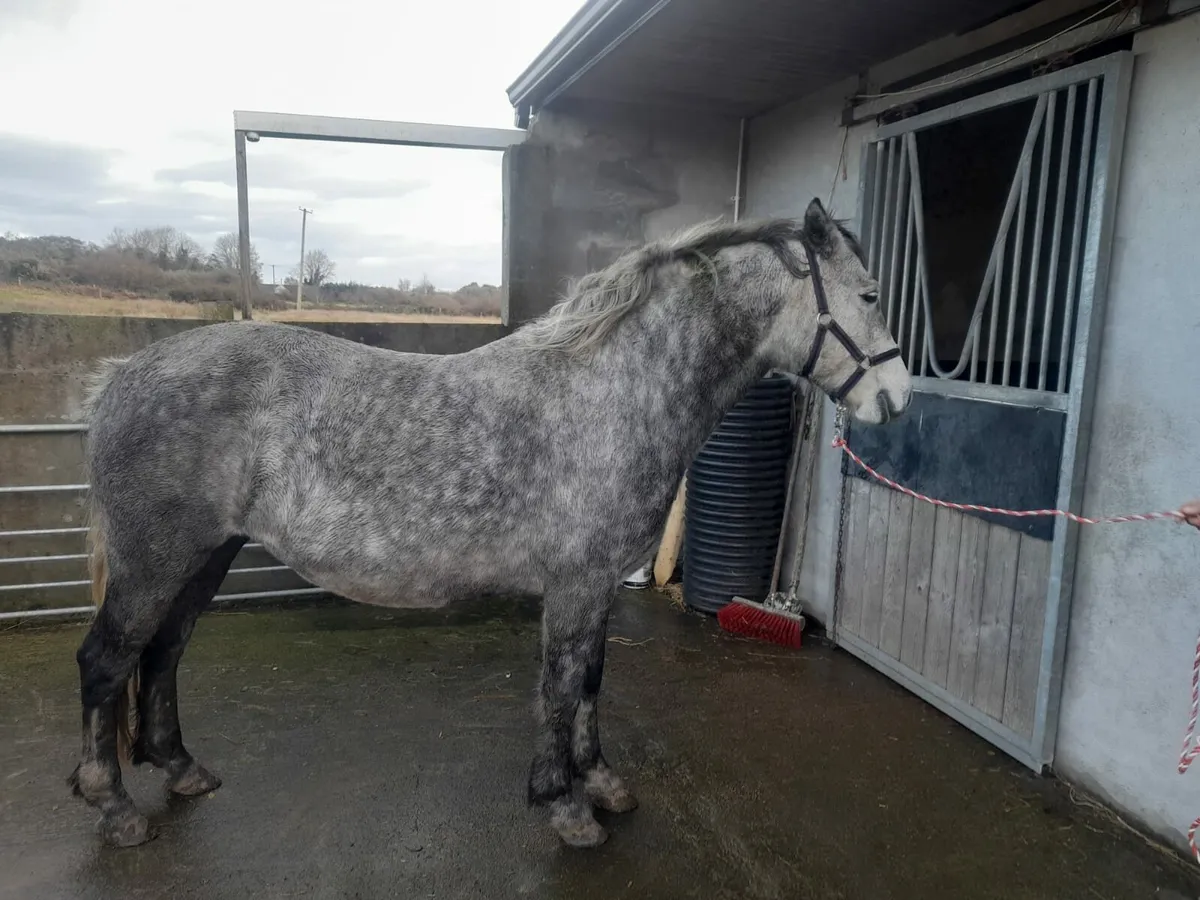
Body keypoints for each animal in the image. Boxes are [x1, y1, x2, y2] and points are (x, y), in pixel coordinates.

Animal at [67, 197, 912, 850]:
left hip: (203, 557)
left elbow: (593, 683)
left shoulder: (598, 584)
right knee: (107, 665)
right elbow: (563, 688)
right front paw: (565, 807)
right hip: (156, 560)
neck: (614, 392)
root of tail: (118, 380)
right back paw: (114, 809)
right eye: (870, 295)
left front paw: (602, 783)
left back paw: (182, 771)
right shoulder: (575, 583)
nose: (899, 400)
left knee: (163, 657)